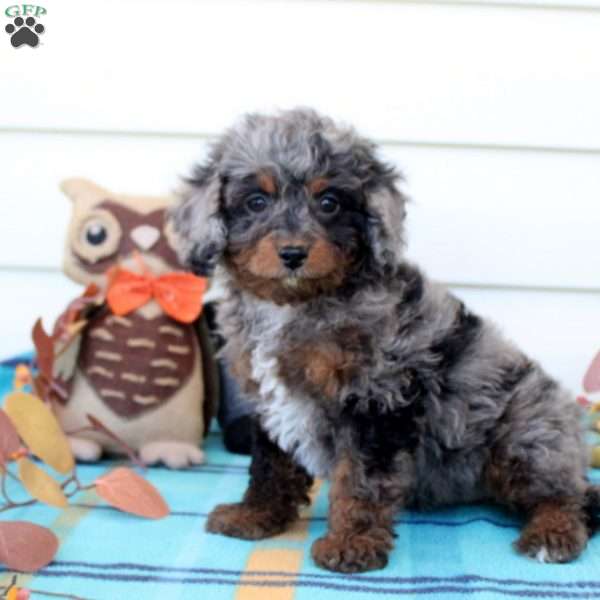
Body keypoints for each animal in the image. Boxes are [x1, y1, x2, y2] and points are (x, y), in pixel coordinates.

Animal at [171, 110, 596, 576]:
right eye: (256, 202)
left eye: (329, 202)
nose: (293, 253)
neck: (296, 304)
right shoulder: (269, 400)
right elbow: (270, 463)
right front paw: (255, 515)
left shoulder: (376, 397)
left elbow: (361, 479)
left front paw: (351, 542)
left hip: (526, 437)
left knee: (566, 493)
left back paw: (552, 534)